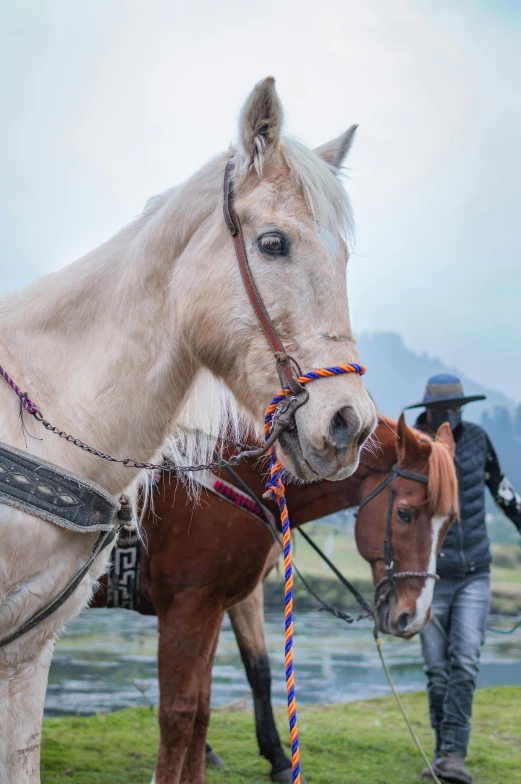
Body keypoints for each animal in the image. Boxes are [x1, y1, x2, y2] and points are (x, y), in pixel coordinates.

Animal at [92, 414, 456, 780]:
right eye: (405, 514)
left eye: (451, 522)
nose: (414, 616)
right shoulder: (188, 606)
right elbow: (180, 712)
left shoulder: (214, 606)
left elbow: (212, 701)